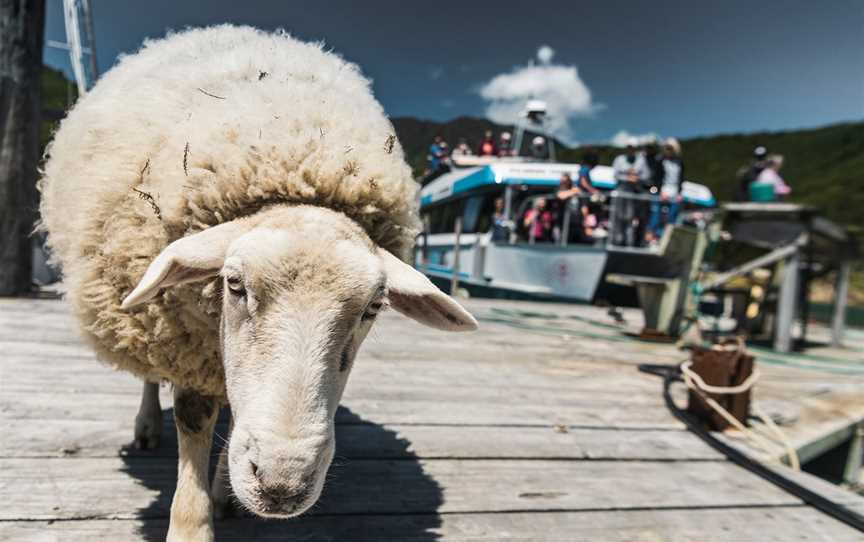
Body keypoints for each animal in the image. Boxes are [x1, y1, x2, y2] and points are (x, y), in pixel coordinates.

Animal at [38, 25, 480, 542]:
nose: (281, 484)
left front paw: (225, 494)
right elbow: (193, 416)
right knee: (150, 375)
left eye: (373, 307)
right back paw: (146, 425)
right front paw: (191, 523)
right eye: (234, 284)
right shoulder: (184, 343)